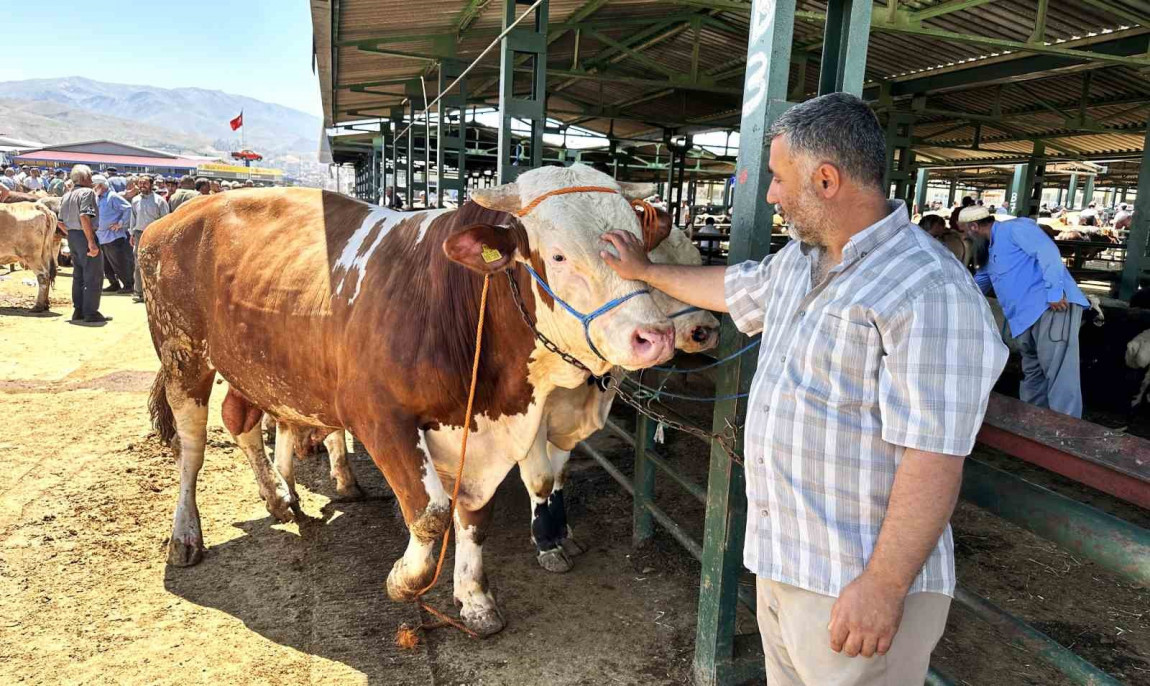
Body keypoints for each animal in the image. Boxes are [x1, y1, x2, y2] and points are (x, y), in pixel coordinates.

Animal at [143, 163, 680, 634]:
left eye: (637, 246)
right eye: (561, 255)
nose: (654, 336)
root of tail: (180, 215)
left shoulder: (478, 430)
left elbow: (474, 517)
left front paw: (475, 599)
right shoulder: (378, 417)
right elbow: (432, 512)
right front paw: (404, 581)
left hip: (258, 364)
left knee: (243, 417)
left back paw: (279, 495)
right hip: (182, 355)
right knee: (193, 448)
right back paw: (186, 535)